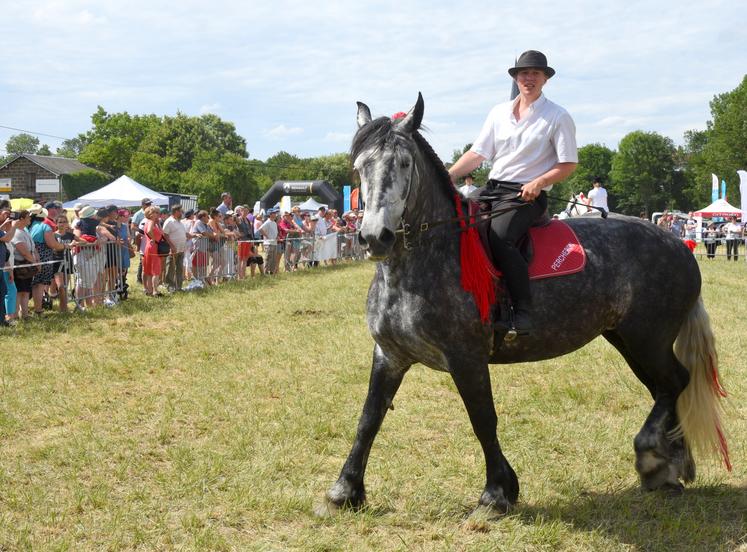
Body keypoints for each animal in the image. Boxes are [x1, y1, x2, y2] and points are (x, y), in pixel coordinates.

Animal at [322, 92, 732, 516]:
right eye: (360, 166)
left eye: (404, 163)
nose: (374, 237)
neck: (428, 259)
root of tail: (678, 244)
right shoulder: (390, 355)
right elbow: (369, 418)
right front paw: (343, 491)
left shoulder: (466, 357)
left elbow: (482, 419)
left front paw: (496, 494)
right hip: (628, 339)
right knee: (665, 388)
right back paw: (673, 466)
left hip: (647, 338)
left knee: (676, 382)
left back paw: (652, 458)